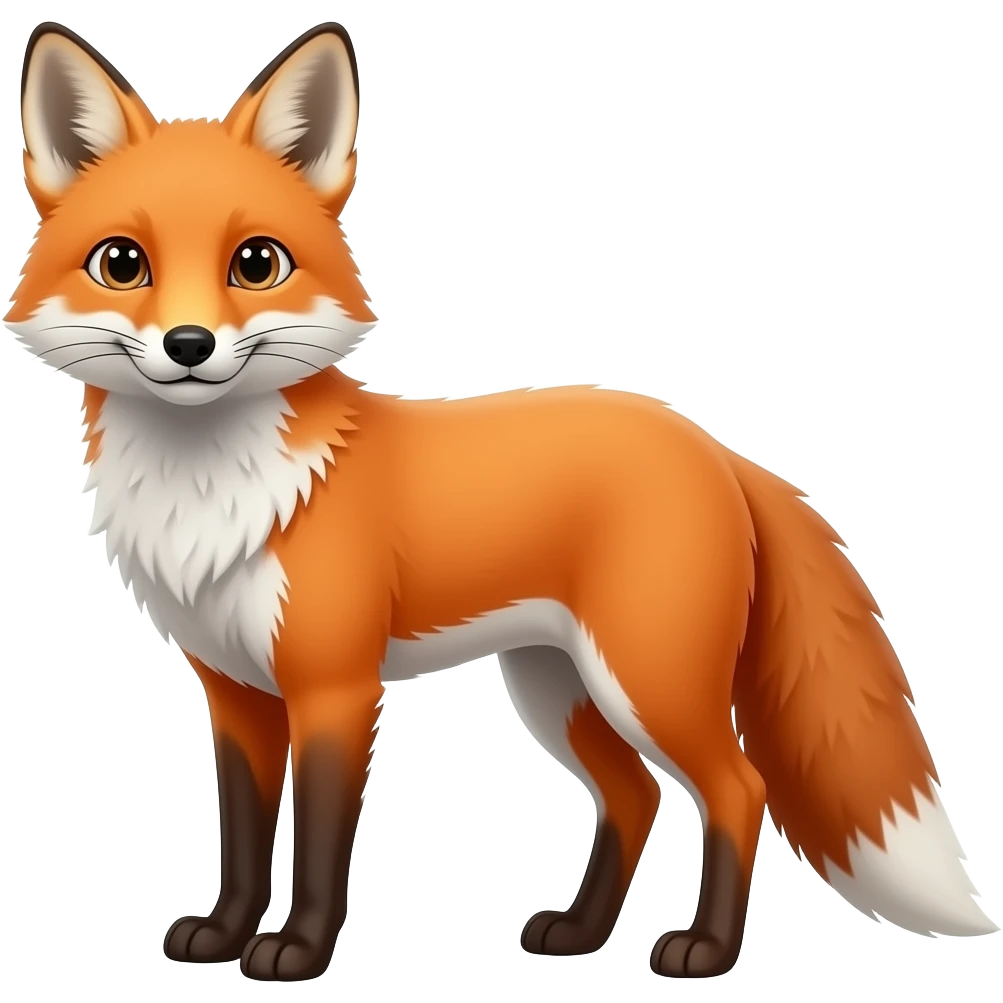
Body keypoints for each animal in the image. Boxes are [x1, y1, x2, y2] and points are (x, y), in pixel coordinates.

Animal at [7, 18, 998, 984]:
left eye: (256, 263)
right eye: (122, 263)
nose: (188, 344)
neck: (214, 491)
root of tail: (713, 446)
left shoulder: (336, 687)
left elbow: (320, 841)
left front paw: (297, 951)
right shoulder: (236, 694)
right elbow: (244, 839)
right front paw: (222, 934)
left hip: (646, 680)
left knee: (736, 788)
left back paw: (704, 951)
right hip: (558, 688)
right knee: (635, 795)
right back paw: (580, 933)